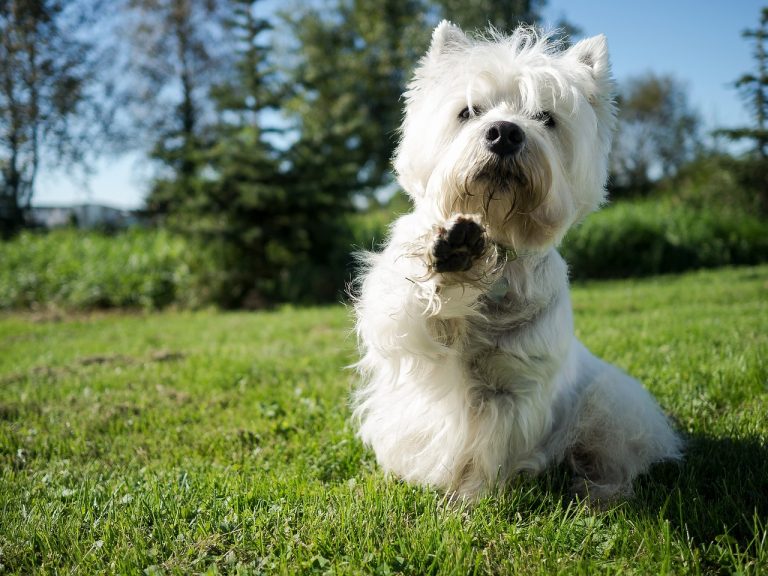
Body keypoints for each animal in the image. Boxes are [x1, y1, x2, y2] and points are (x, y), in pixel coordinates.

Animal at [352, 20, 680, 502]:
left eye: (546, 117)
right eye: (469, 111)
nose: (505, 133)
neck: (498, 249)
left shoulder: (510, 388)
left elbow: (485, 450)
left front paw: (470, 498)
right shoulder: (404, 328)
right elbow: (412, 306)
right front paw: (453, 254)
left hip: (612, 405)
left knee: (616, 455)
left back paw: (597, 492)